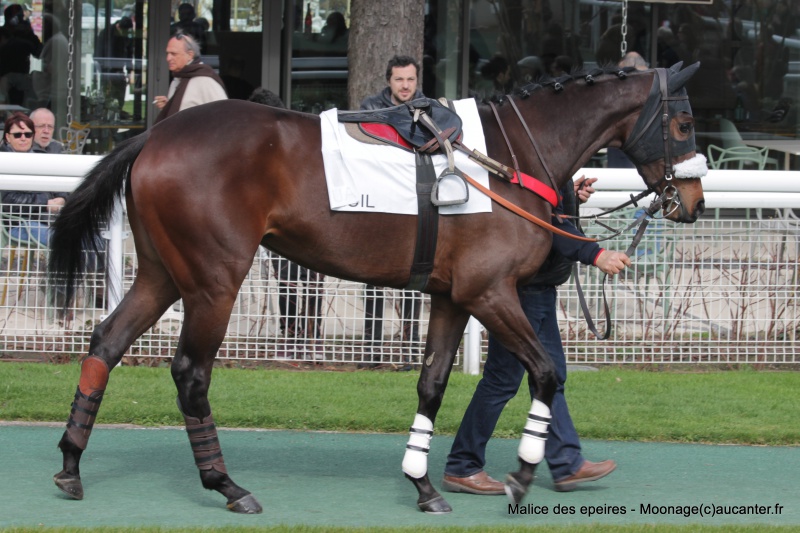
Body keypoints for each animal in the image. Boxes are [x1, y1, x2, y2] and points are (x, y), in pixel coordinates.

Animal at [47, 60, 704, 512]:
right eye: (683, 121)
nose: (693, 201)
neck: (505, 158)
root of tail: (155, 136)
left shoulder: (451, 296)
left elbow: (433, 384)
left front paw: (424, 483)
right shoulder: (490, 293)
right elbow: (546, 373)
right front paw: (520, 474)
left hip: (162, 273)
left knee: (106, 343)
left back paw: (72, 463)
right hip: (214, 280)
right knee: (190, 372)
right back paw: (226, 483)